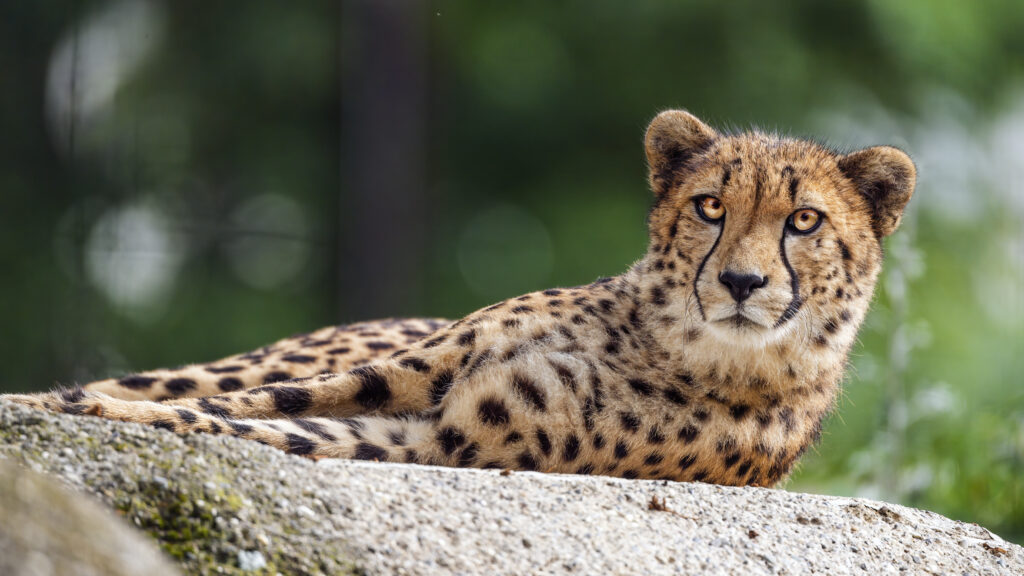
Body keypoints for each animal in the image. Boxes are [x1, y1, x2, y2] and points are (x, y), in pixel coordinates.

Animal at [2, 110, 916, 487]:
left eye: (803, 221)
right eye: (711, 208)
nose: (740, 283)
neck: (668, 341)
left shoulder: (440, 440)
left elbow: (271, 428)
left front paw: (105, 418)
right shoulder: (415, 372)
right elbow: (253, 402)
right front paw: (75, 406)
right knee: (209, 377)